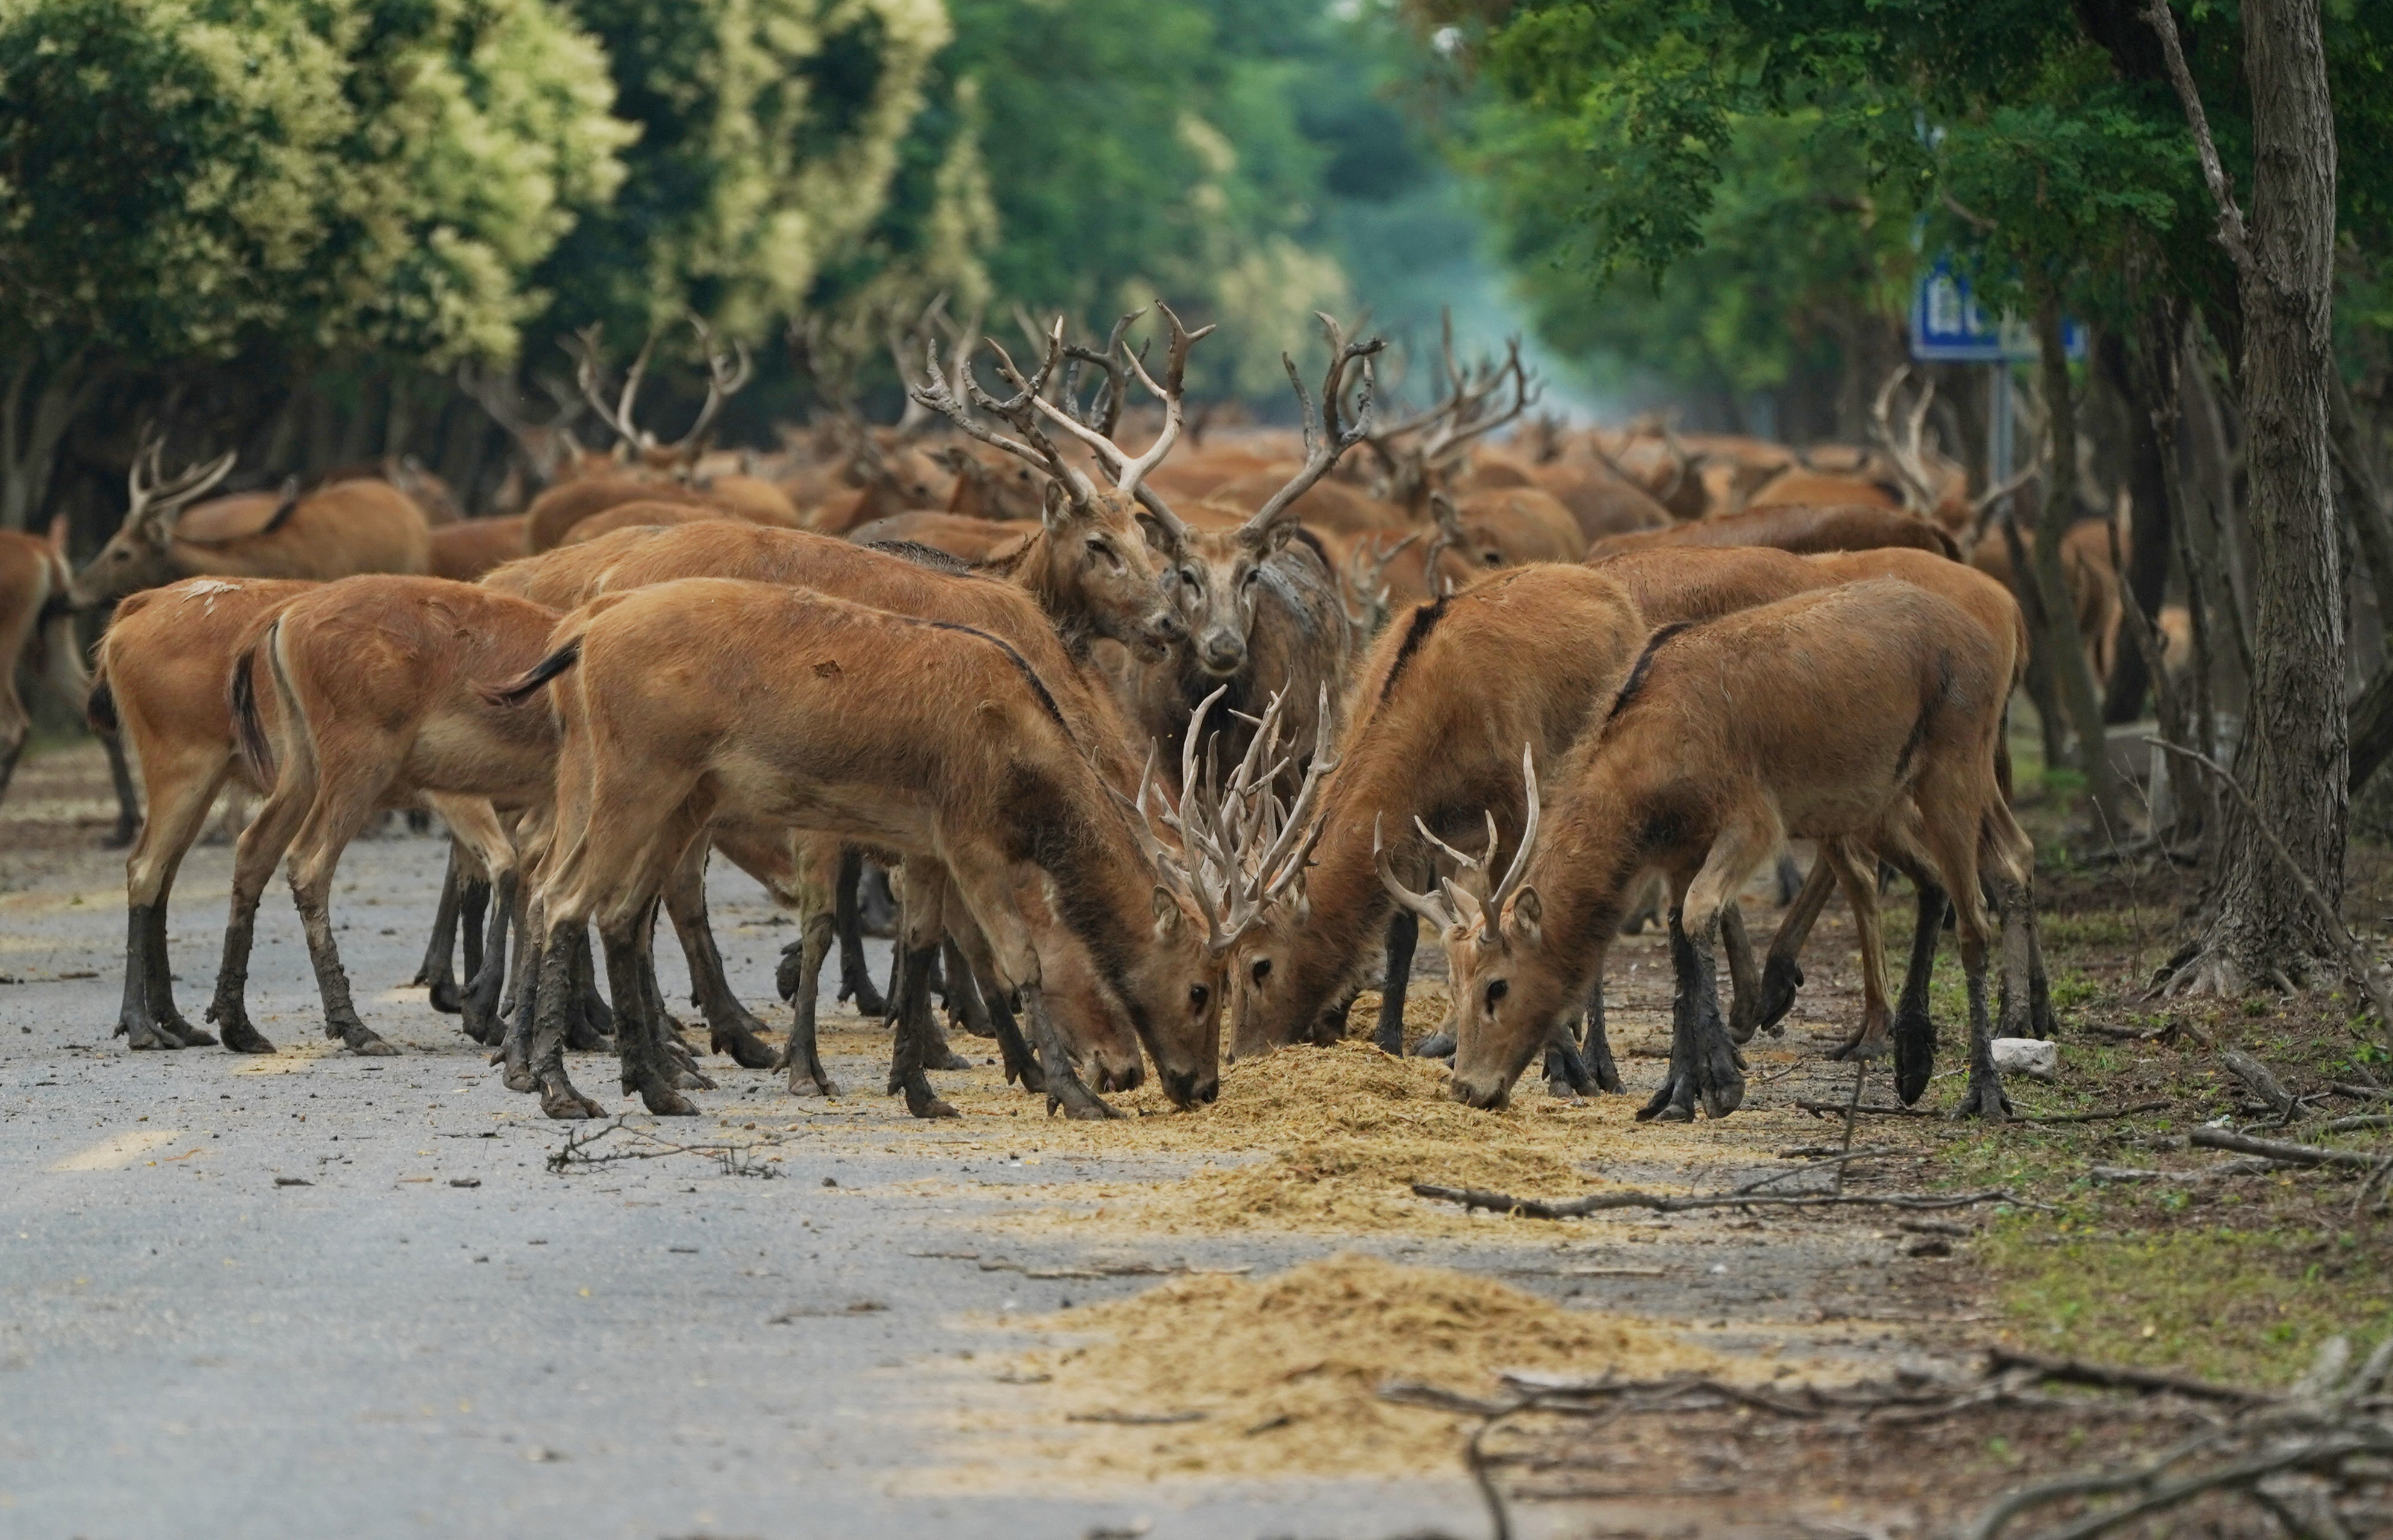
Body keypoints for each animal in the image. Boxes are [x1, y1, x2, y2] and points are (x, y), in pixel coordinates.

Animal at [1387, 578, 2039, 1119]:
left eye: (1497, 986)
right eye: (1455, 983)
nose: (1468, 1087)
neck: (1649, 762)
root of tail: (2001, 628)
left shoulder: (1753, 820)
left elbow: (1702, 914)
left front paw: (1722, 1082)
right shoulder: (1680, 847)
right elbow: (1680, 942)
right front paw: (1676, 1092)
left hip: (1955, 764)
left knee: (1975, 915)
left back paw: (1984, 1091)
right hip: (1878, 801)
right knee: (1959, 872)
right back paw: (1913, 1062)